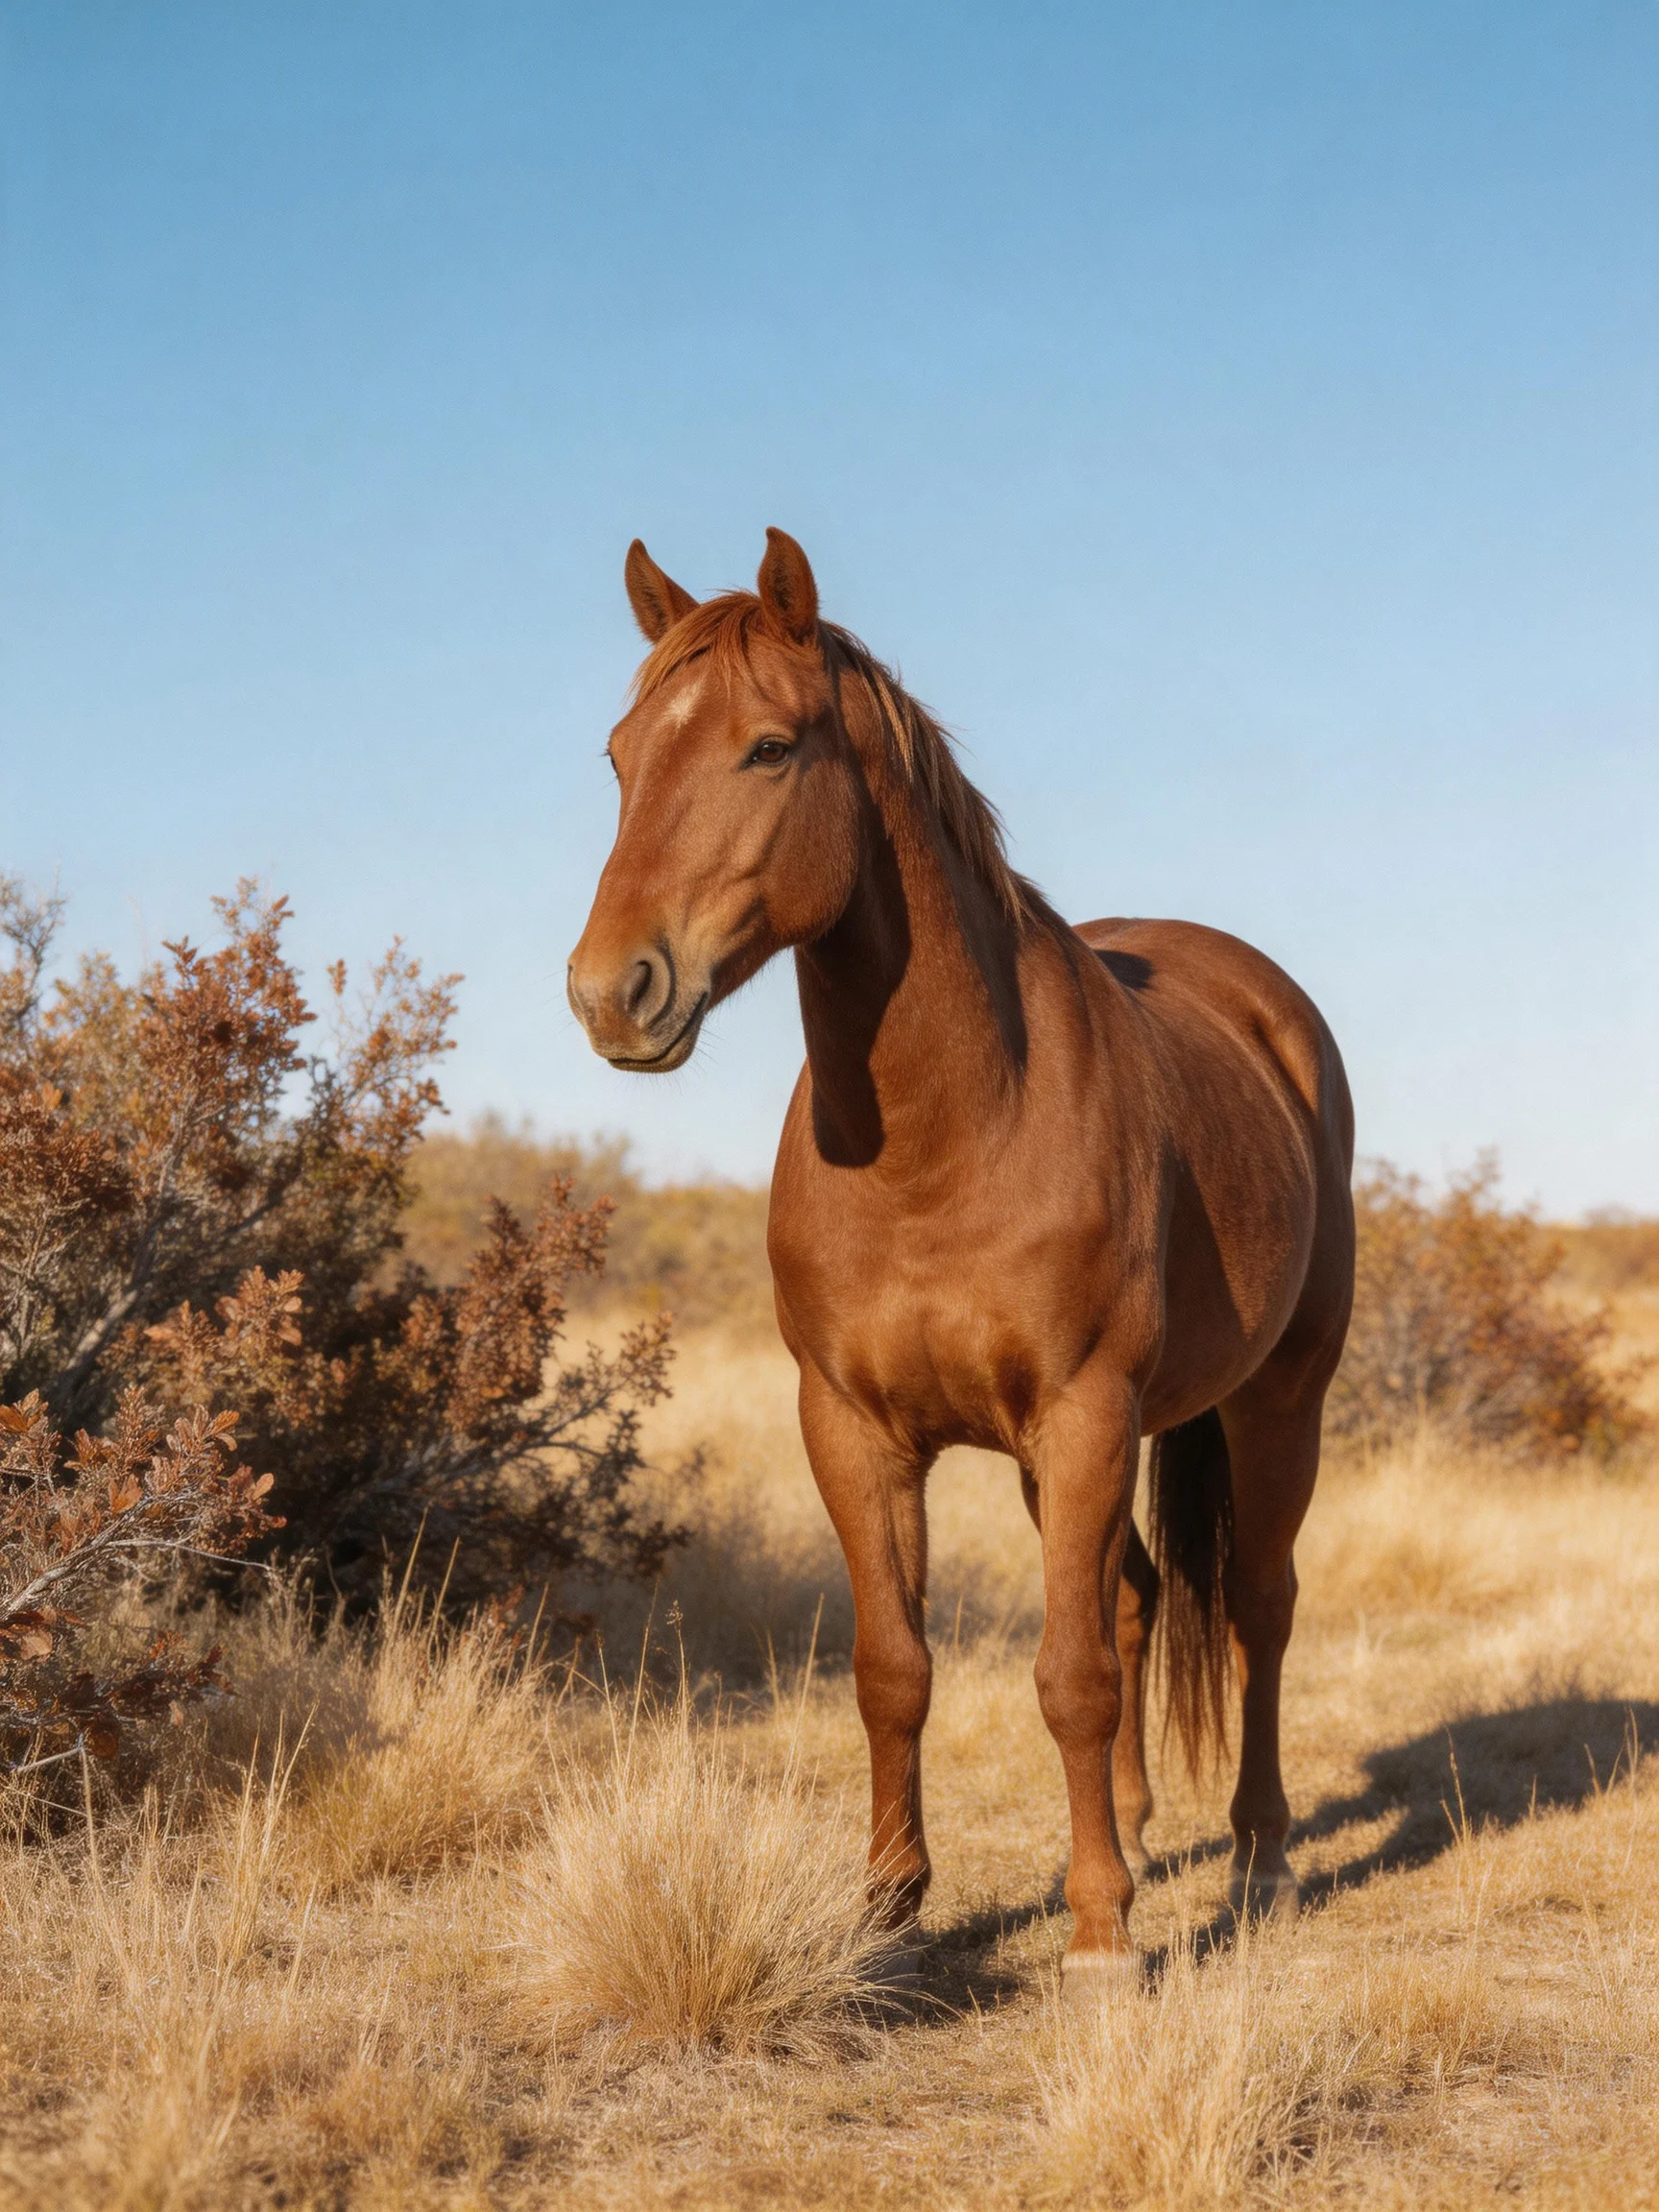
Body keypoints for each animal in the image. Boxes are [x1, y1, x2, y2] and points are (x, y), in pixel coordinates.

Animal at [568, 529, 1355, 2002]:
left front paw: (1101, 1942)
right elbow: (897, 1667)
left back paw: (1260, 1856)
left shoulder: (1086, 1412)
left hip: (1277, 1399)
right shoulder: (855, 1428)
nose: (610, 993)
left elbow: (1069, 1678)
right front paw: (889, 1911)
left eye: (769, 749)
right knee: (1136, 1597)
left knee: (1257, 1609)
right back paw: (1132, 1835)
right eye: (620, 754)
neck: (949, 1137)